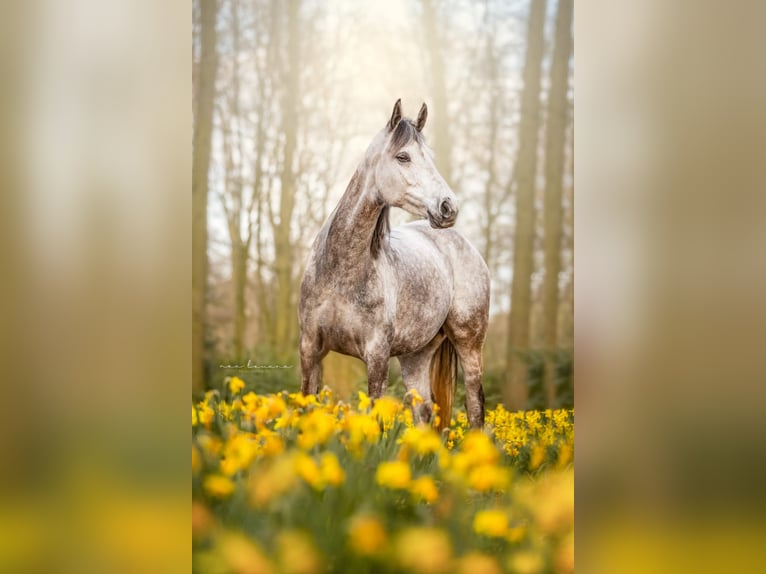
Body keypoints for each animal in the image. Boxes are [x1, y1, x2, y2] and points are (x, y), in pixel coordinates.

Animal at [300, 100, 492, 432]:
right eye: (403, 156)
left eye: (431, 158)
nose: (448, 207)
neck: (341, 272)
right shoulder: (310, 349)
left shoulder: (376, 355)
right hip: (415, 356)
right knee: (424, 410)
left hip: (469, 343)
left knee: (474, 404)